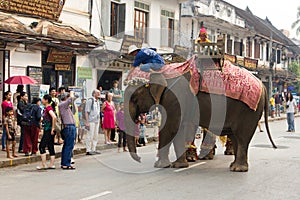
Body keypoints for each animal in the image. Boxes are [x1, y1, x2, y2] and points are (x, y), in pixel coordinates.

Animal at [124, 70, 276, 172]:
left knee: (242, 137)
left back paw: (238, 169)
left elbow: (171, 128)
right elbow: (179, 129)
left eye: (134, 99)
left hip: (249, 112)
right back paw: (234, 166)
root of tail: (263, 86)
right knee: (236, 137)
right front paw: (176, 165)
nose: (139, 159)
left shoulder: (175, 101)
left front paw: (165, 166)